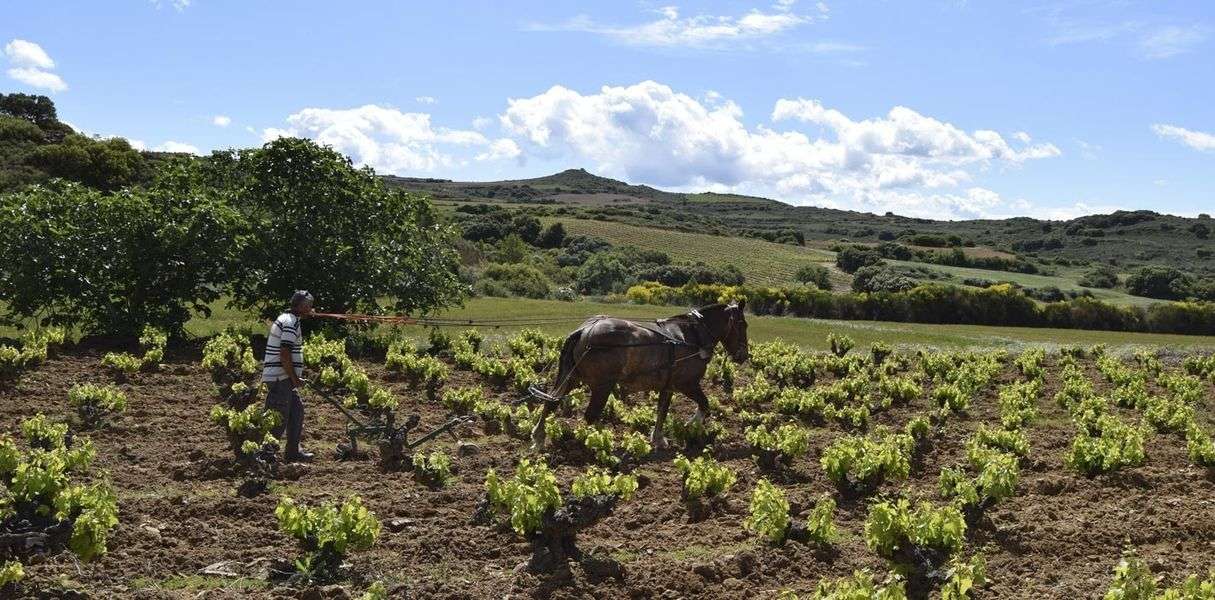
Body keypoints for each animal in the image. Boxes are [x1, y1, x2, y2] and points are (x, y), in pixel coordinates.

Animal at [532, 304, 748, 449]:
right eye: (743, 324)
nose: (744, 356)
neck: (692, 335)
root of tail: (584, 330)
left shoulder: (668, 386)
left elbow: (662, 411)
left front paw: (658, 438)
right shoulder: (687, 384)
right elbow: (704, 404)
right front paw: (690, 426)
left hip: (572, 378)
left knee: (551, 402)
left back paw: (538, 437)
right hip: (602, 386)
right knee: (591, 415)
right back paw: (605, 441)